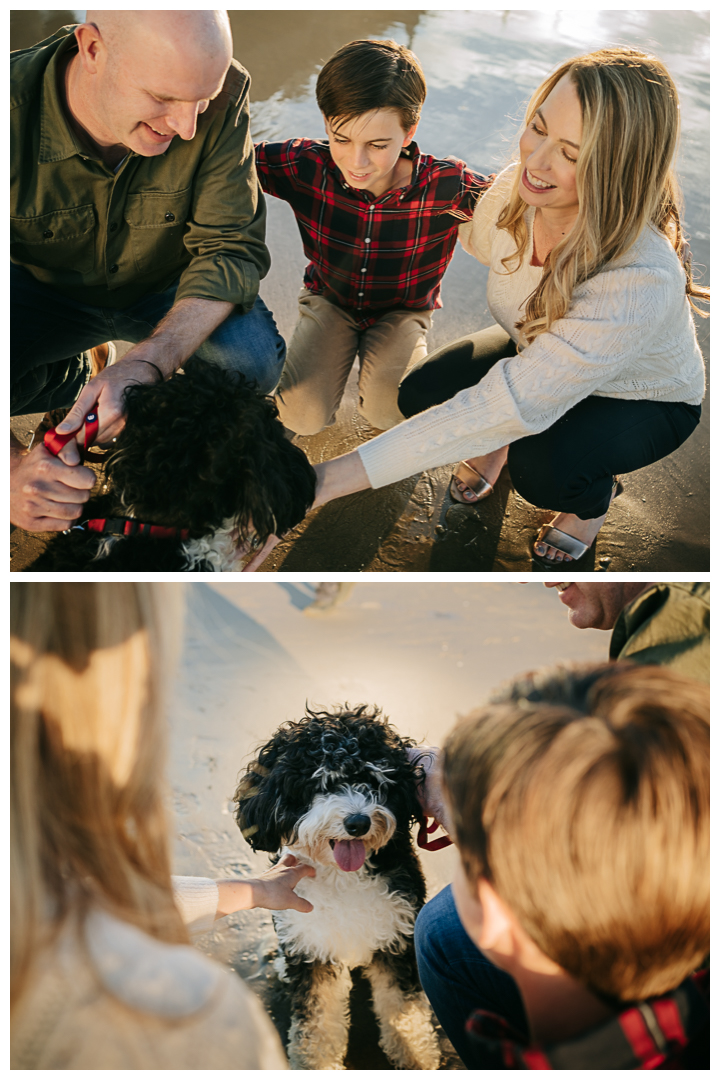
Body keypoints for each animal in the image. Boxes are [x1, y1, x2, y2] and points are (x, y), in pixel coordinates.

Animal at [234, 704, 442, 1067]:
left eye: (373, 779)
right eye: (320, 783)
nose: (357, 822)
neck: (342, 876)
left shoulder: (398, 937)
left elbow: (405, 1012)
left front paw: (416, 1056)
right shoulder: (312, 950)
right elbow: (316, 1025)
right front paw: (315, 1063)